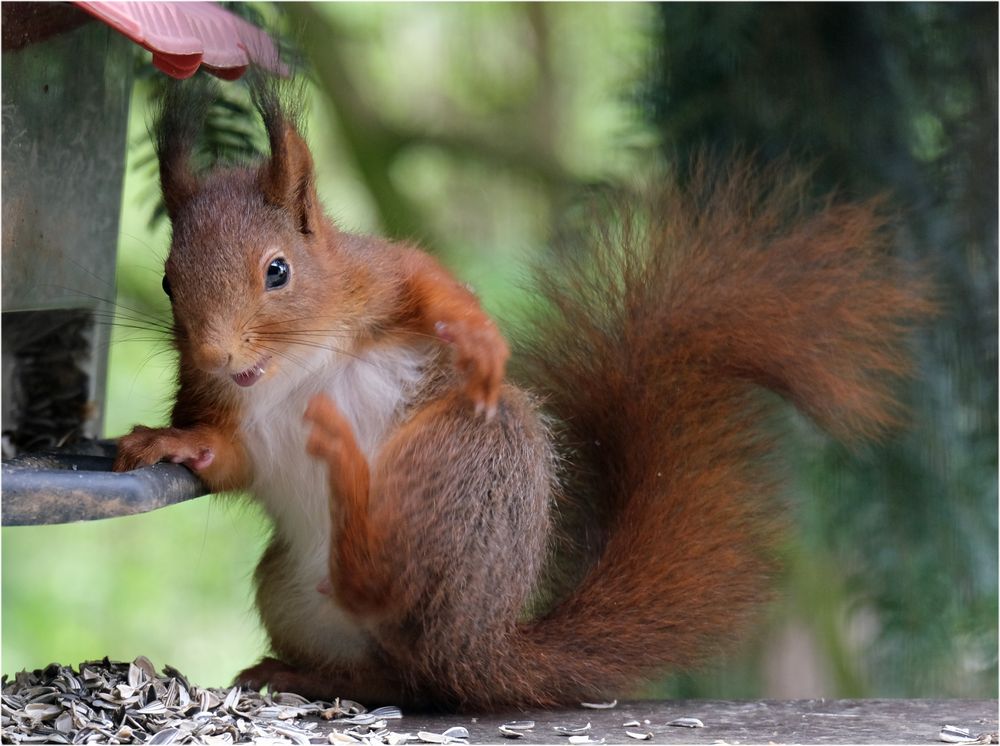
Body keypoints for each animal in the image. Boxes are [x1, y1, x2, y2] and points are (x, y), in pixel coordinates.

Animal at [111, 78, 928, 708]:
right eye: (168, 281)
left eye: (278, 270)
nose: (215, 354)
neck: (292, 369)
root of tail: (483, 645)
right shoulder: (239, 420)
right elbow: (223, 455)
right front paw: (166, 439)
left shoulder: (375, 276)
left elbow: (428, 282)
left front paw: (477, 337)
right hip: (292, 592)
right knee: (392, 679)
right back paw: (302, 673)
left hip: (469, 454)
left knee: (395, 612)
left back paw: (346, 469)